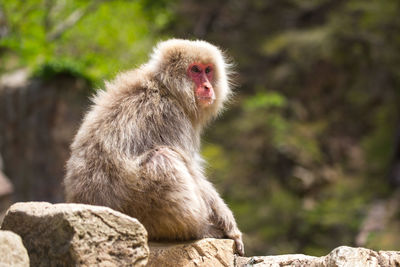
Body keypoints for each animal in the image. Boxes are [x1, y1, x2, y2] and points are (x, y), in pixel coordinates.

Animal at [63, 38, 244, 256]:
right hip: (137, 208)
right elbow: (192, 170)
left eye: (207, 70)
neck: (166, 88)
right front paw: (229, 225)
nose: (208, 87)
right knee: (164, 158)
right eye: (195, 70)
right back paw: (197, 229)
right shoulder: (170, 115)